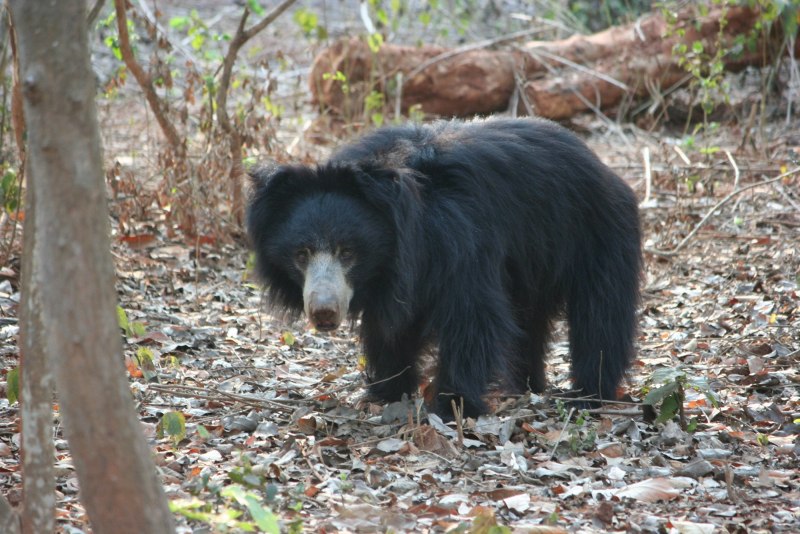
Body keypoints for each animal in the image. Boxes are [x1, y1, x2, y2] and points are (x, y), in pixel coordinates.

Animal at [246, 118, 641, 418]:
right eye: (302, 253)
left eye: (347, 252)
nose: (324, 312)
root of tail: (601, 166)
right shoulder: (393, 278)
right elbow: (391, 328)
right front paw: (388, 391)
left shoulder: (460, 239)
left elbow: (472, 315)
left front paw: (453, 404)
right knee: (528, 320)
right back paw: (525, 386)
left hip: (595, 235)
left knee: (600, 314)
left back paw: (590, 393)